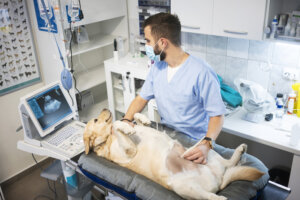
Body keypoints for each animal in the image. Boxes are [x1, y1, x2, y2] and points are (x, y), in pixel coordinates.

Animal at [84, 109, 262, 200]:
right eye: (95, 120)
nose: (105, 108)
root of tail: (219, 180)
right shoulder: (129, 151)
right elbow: (115, 125)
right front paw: (124, 126)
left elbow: (135, 120)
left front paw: (140, 119)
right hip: (183, 187)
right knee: (209, 196)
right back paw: (220, 197)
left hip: (207, 153)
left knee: (228, 163)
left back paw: (239, 150)